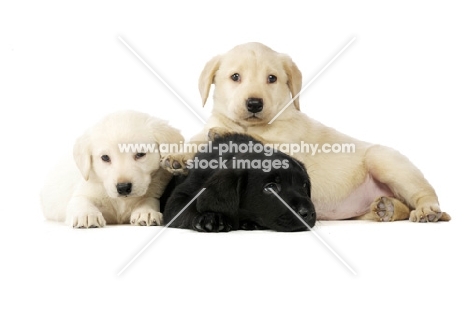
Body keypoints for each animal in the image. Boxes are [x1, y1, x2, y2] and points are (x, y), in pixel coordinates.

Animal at [40, 111, 183, 228]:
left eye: (140, 154)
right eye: (105, 157)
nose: (123, 187)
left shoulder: (154, 191)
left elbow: (149, 199)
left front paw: (146, 211)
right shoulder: (83, 191)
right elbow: (80, 200)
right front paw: (86, 214)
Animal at [160, 133, 314, 233]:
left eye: (304, 185)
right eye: (270, 187)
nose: (309, 213)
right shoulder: (178, 198)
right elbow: (186, 210)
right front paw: (210, 217)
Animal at [164, 43, 450, 224]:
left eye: (272, 78)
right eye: (235, 77)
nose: (254, 104)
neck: (252, 124)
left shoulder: (288, 148)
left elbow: (251, 140)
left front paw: (222, 133)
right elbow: (197, 140)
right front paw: (178, 157)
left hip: (386, 161)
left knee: (425, 195)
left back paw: (427, 211)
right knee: (396, 207)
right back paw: (386, 208)